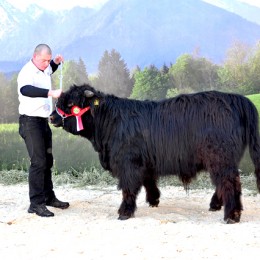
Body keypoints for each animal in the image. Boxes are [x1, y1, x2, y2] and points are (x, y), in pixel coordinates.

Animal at [51, 84, 260, 222]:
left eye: (70, 103)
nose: (52, 117)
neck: (109, 122)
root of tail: (236, 98)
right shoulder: (144, 161)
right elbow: (148, 180)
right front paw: (153, 200)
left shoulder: (128, 163)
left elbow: (128, 188)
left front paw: (125, 212)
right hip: (224, 159)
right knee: (227, 182)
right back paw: (216, 205)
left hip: (220, 157)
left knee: (229, 182)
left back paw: (231, 215)